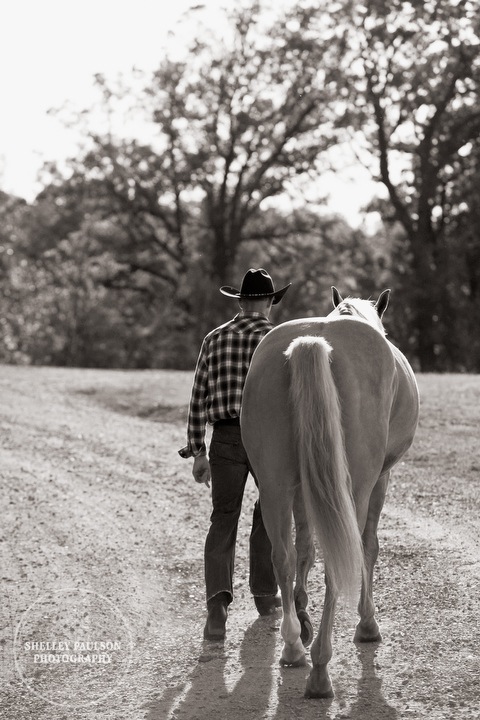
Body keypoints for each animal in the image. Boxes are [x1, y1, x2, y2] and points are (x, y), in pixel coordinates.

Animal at [242, 286, 418, 696]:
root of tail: (314, 341)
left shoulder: (303, 487)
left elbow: (304, 549)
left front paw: (302, 612)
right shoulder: (380, 479)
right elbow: (369, 546)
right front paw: (367, 625)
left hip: (274, 485)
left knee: (282, 556)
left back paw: (294, 646)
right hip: (355, 486)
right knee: (342, 558)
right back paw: (320, 669)